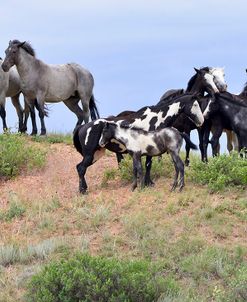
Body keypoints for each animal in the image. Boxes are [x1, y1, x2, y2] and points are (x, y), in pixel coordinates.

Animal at [74, 93, 205, 193]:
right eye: (195, 104)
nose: (201, 121)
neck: (156, 117)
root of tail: (82, 127)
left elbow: (146, 166)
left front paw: (146, 183)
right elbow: (147, 165)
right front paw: (147, 183)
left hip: (96, 154)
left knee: (80, 167)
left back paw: (84, 189)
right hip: (90, 154)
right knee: (81, 168)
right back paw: (82, 191)